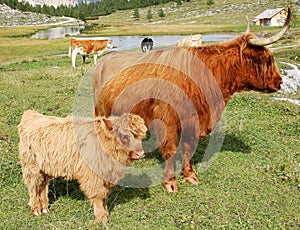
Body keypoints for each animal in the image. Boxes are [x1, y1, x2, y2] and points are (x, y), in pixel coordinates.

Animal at [18, 110, 147, 224]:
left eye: (140, 136)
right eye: (124, 137)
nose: (140, 154)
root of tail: (31, 115)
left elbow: (105, 195)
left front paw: (105, 214)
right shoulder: (92, 175)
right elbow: (98, 195)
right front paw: (101, 218)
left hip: (45, 168)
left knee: (42, 186)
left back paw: (45, 208)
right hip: (31, 167)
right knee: (33, 187)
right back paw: (36, 209)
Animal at [93, 6, 290, 192]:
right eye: (267, 59)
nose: (280, 82)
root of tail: (104, 59)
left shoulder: (193, 121)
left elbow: (188, 148)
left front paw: (189, 175)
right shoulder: (168, 120)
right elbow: (171, 149)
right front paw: (170, 182)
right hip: (99, 109)